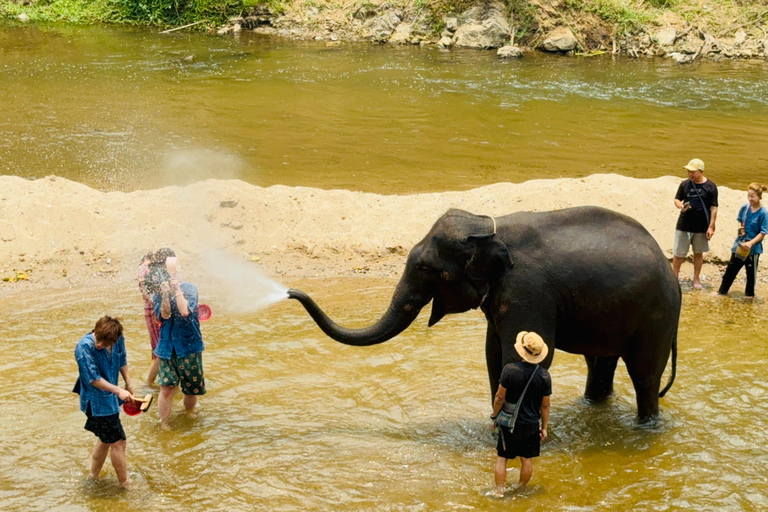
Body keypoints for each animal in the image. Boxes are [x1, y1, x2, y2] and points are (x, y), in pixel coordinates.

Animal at [292, 206, 680, 422]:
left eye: (431, 270)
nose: (291, 292)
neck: (489, 226)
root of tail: (673, 276)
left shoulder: (527, 288)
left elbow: (520, 356)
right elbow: (494, 355)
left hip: (656, 316)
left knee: (645, 375)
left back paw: (646, 428)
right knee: (599, 365)